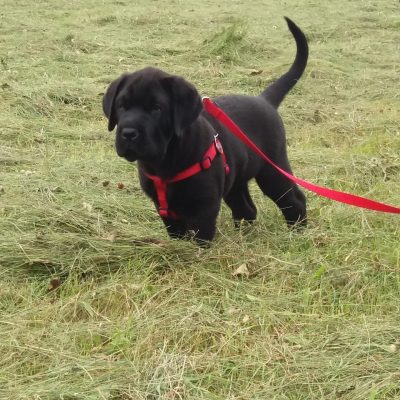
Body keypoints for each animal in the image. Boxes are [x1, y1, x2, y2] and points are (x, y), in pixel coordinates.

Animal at [103, 17, 308, 243]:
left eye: (156, 108)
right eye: (122, 106)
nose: (128, 133)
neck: (165, 162)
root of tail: (265, 100)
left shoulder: (204, 208)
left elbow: (200, 238)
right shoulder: (165, 209)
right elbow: (177, 235)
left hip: (272, 169)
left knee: (294, 199)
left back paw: (298, 234)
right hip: (236, 179)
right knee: (246, 208)